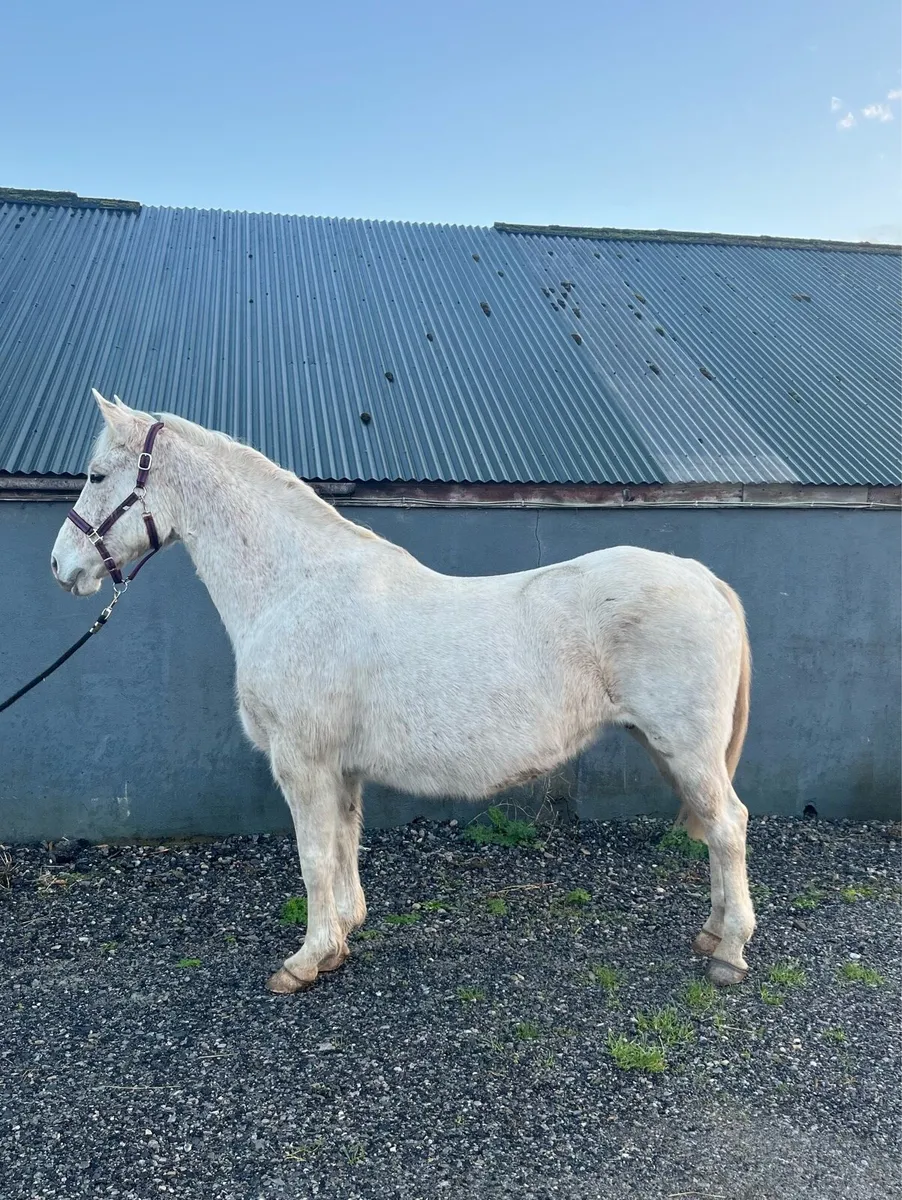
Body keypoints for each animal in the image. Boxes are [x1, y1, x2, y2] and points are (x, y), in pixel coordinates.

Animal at [51, 391, 755, 994]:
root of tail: (704, 579)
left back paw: (728, 953)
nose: (61, 567)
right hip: (668, 749)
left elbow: (313, 854)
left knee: (728, 826)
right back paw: (712, 932)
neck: (293, 588)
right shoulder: (341, 768)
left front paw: (304, 961)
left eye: (95, 475)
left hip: (686, 748)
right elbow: (342, 844)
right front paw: (341, 936)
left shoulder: (301, 762)